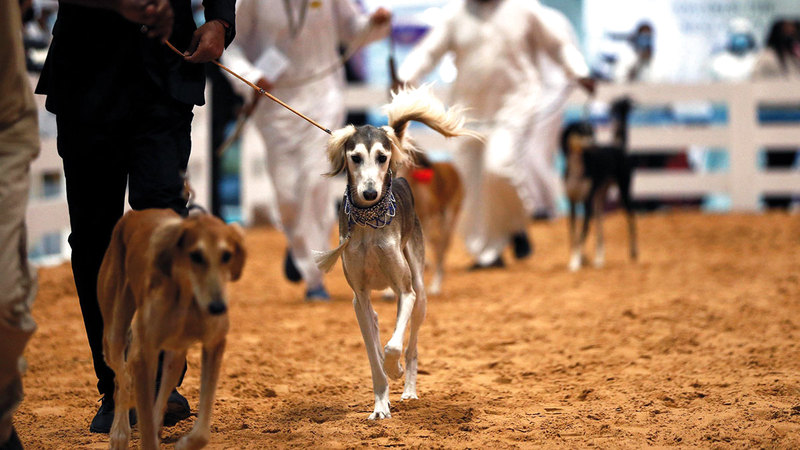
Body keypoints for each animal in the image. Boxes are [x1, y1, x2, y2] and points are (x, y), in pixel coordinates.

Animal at [98, 210, 245, 450]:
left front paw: (185, 443)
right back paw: (119, 434)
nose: (217, 307)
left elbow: (201, 431)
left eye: (227, 255)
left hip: (174, 356)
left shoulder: (214, 343)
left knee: (159, 390)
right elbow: (146, 424)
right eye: (196, 255)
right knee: (122, 379)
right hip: (114, 334)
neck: (187, 296)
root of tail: (132, 214)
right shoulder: (142, 355)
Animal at [564, 97, 636, 270]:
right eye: (581, 132)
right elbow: (574, 235)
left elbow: (582, 234)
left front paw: (576, 262)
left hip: (624, 191)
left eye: (592, 132)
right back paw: (599, 260)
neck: (578, 167)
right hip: (599, 199)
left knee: (631, 218)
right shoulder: (572, 202)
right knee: (600, 228)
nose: (594, 143)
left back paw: (633, 253)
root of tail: (618, 147)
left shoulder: (586, 202)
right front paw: (575, 259)